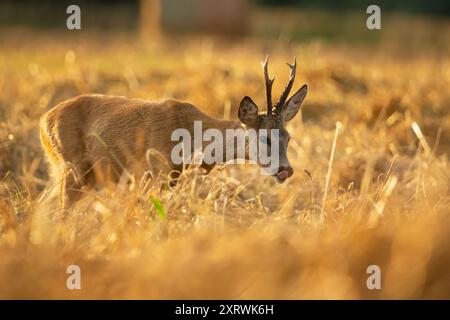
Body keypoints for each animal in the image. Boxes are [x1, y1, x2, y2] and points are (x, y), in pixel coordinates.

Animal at [40, 56, 308, 209]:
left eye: (288, 137)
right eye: (264, 137)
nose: (286, 169)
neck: (193, 135)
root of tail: (43, 121)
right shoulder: (154, 171)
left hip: (77, 174)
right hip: (70, 166)